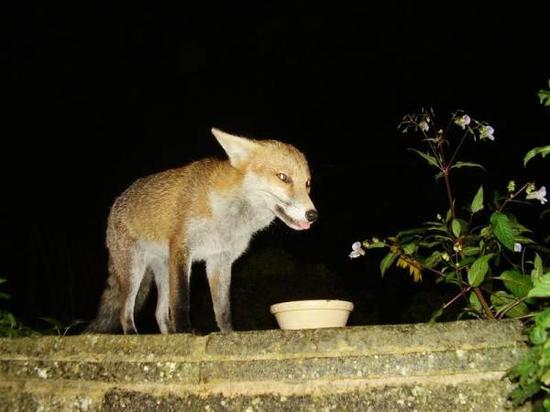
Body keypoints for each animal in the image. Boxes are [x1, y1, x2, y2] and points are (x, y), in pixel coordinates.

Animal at [86, 129, 320, 334]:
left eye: (307, 184)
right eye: (283, 177)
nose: (313, 215)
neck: (226, 217)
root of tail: (116, 203)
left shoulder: (219, 260)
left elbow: (223, 309)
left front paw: (228, 334)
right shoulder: (182, 248)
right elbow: (181, 301)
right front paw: (185, 331)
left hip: (163, 271)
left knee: (159, 313)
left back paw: (168, 334)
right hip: (135, 270)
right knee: (125, 311)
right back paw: (134, 333)